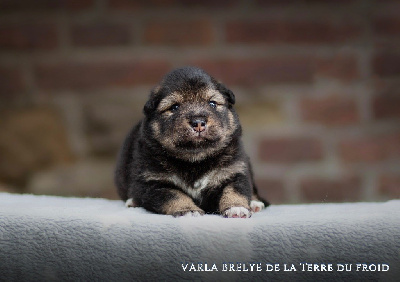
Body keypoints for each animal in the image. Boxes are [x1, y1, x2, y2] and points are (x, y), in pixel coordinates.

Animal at [114, 66, 268, 218]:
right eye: (174, 107)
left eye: (212, 103)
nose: (198, 122)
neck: (195, 159)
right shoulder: (151, 182)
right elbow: (174, 195)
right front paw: (188, 210)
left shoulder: (234, 171)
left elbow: (234, 190)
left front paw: (237, 209)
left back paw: (255, 203)